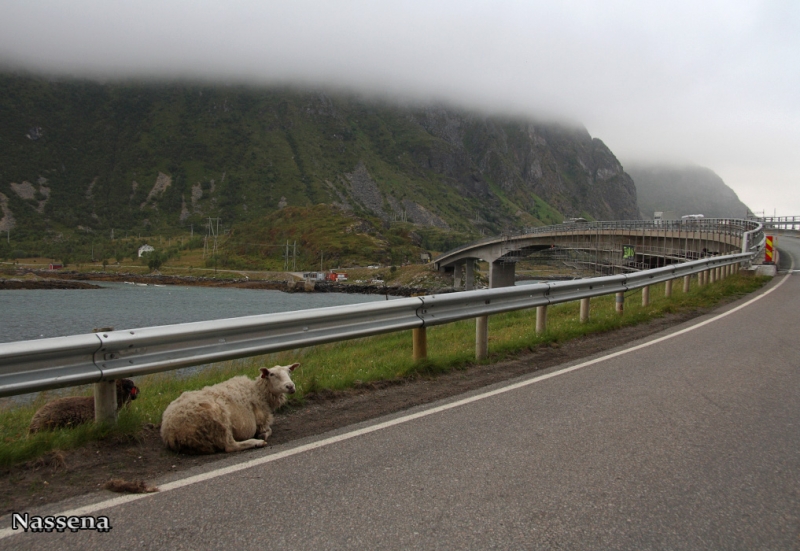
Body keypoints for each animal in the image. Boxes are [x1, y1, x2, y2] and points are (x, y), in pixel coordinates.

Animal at [161, 364, 298, 454]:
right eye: (272, 374)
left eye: (289, 372)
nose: (290, 386)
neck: (258, 392)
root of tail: (169, 431)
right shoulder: (261, 421)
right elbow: (268, 430)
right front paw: (262, 436)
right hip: (218, 419)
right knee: (230, 446)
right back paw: (256, 442)